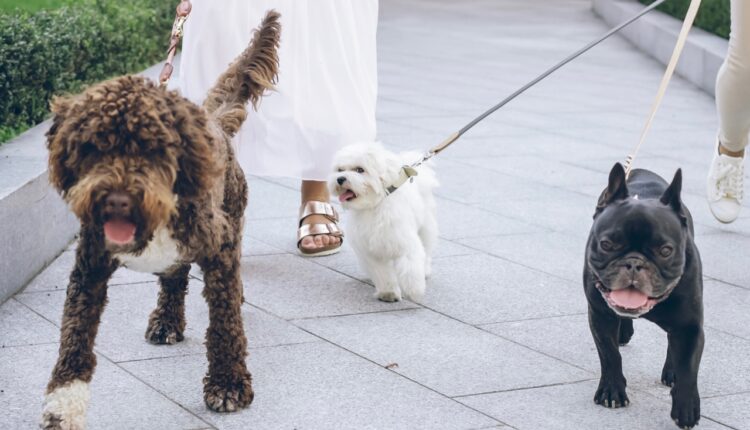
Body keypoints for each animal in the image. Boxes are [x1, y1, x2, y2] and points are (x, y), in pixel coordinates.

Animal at [41, 10, 282, 430]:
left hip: (232, 216)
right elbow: (74, 337)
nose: (117, 200)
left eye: (152, 149)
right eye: (92, 148)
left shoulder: (219, 249)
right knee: (174, 277)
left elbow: (225, 323)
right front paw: (62, 406)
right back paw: (166, 322)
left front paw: (228, 384)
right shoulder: (89, 267)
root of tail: (214, 120)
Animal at [328, 143, 440, 300]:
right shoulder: (371, 252)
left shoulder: (404, 242)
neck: (373, 206)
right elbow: (382, 273)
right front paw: (388, 293)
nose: (340, 179)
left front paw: (414, 289)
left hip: (426, 227)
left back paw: (425, 270)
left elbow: (410, 267)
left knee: (427, 248)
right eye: (340, 170)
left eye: (360, 170)